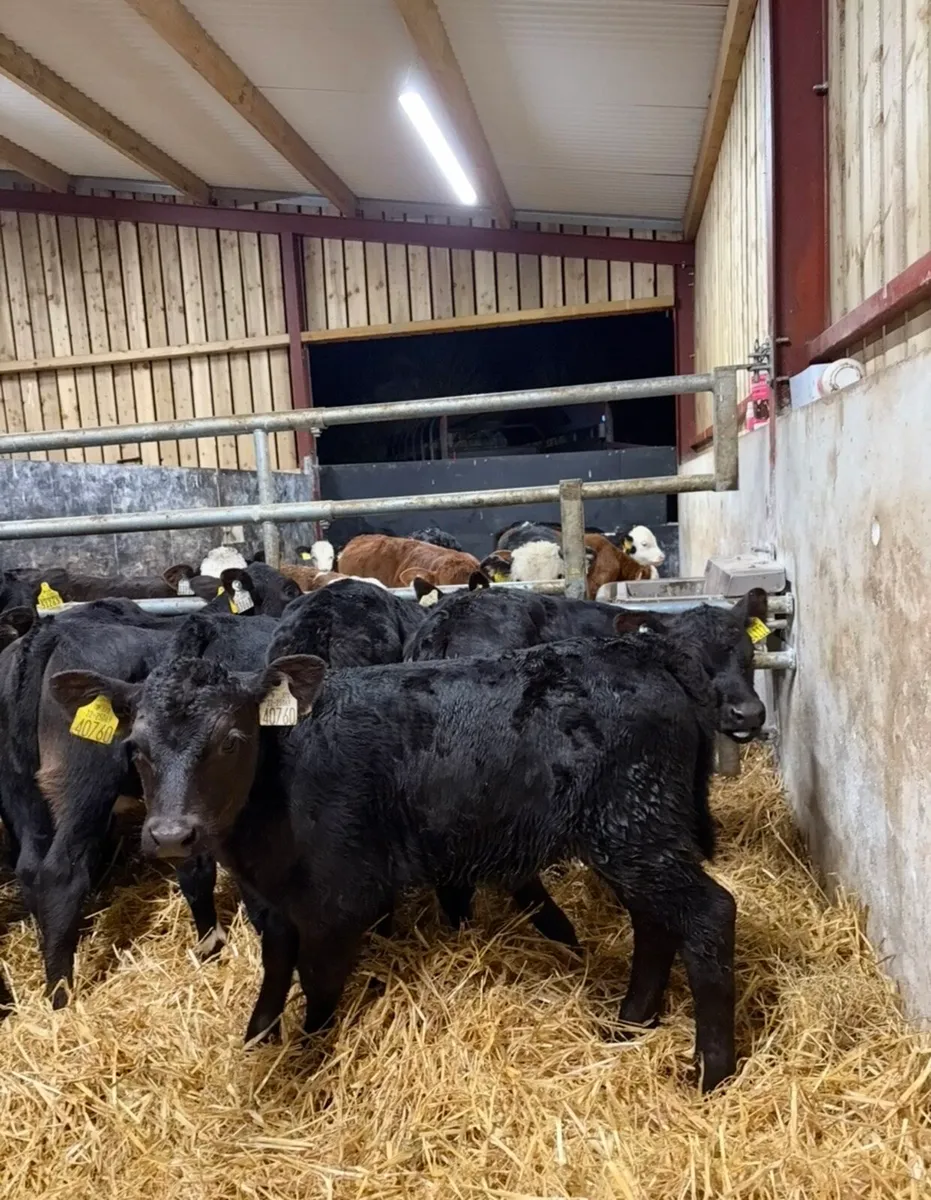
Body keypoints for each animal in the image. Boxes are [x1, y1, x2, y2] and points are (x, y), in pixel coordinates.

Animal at [52, 628, 739, 1091]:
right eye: (135, 748)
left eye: (231, 740)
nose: (172, 835)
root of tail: (635, 650)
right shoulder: (274, 902)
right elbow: (275, 969)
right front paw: (258, 1040)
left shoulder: (340, 898)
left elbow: (318, 984)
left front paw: (308, 1056)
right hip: (630, 835)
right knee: (655, 922)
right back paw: (629, 1025)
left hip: (636, 825)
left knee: (709, 914)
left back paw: (711, 1071)